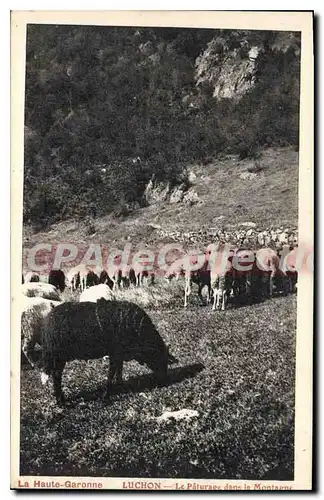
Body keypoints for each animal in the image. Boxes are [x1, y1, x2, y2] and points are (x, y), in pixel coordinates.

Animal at [39, 298, 180, 404]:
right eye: (160, 358)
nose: (164, 380)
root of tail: (48, 320)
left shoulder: (119, 353)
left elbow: (119, 370)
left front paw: (120, 385)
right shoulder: (115, 352)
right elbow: (111, 373)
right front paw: (107, 394)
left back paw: (61, 398)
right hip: (59, 356)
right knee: (57, 376)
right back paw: (61, 401)